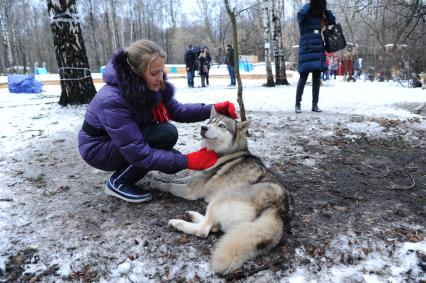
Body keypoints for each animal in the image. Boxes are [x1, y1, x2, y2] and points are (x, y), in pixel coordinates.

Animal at [151, 108, 294, 276]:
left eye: (221, 125)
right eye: (210, 121)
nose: (203, 128)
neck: (224, 153)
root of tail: (279, 209)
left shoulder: (189, 190)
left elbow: (170, 186)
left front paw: (156, 183)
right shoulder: (193, 179)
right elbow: (181, 178)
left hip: (220, 198)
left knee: (204, 230)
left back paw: (179, 223)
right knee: (214, 226)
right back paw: (192, 215)